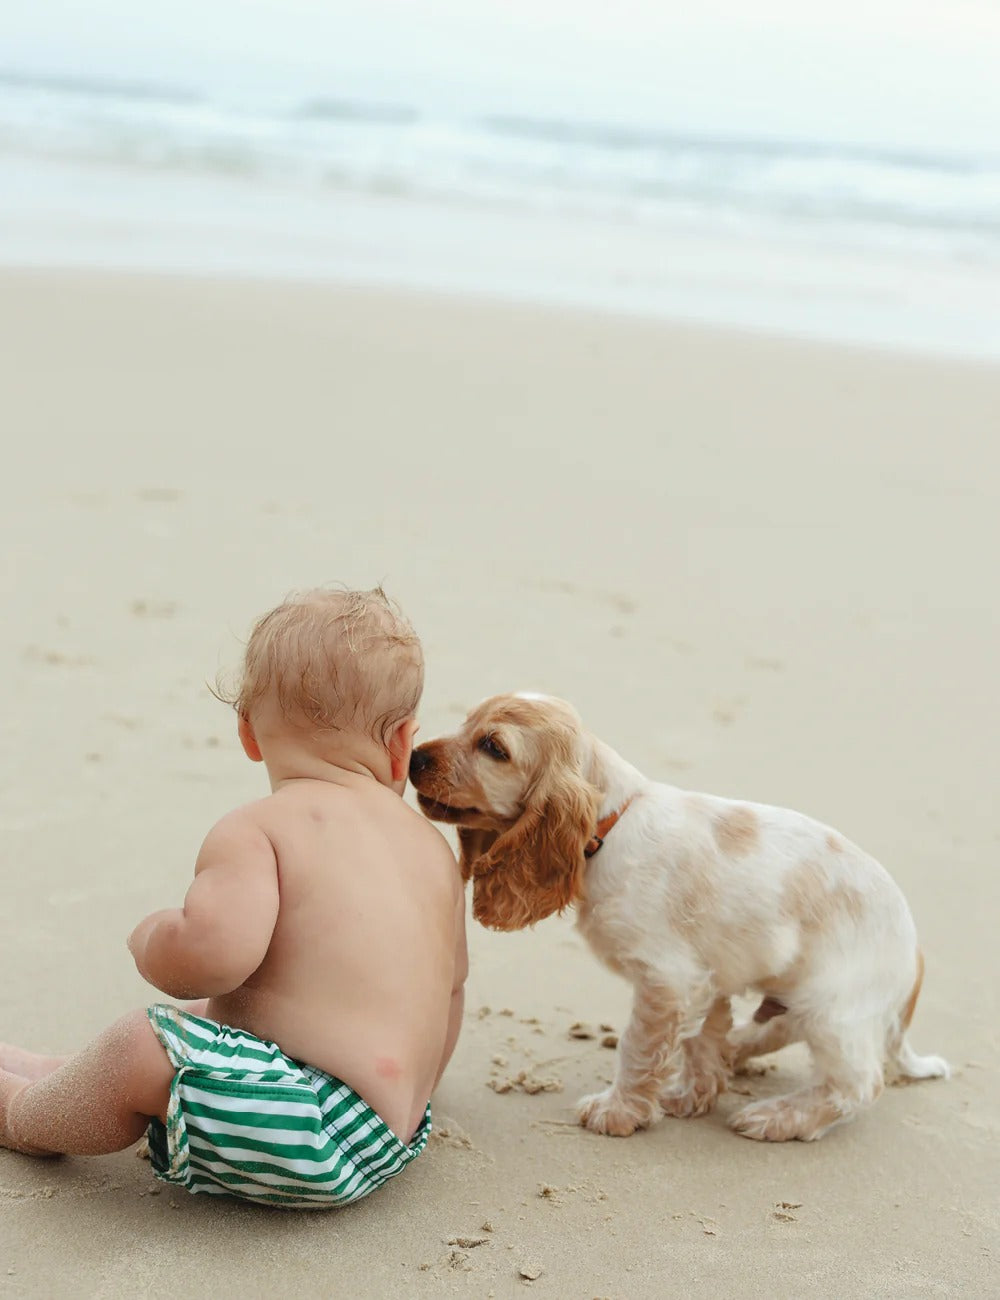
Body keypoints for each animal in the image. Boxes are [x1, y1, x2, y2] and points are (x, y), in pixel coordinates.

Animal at [405, 691, 946, 1138]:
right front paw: (690, 1094)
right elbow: (701, 1039)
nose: (414, 755)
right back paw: (741, 1049)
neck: (610, 825)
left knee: (857, 1085)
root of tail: (916, 947)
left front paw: (619, 1111)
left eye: (494, 747)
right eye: (465, 723)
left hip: (833, 1010)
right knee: (780, 1031)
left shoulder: (668, 978)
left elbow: (638, 1047)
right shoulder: (710, 977)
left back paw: (778, 1118)